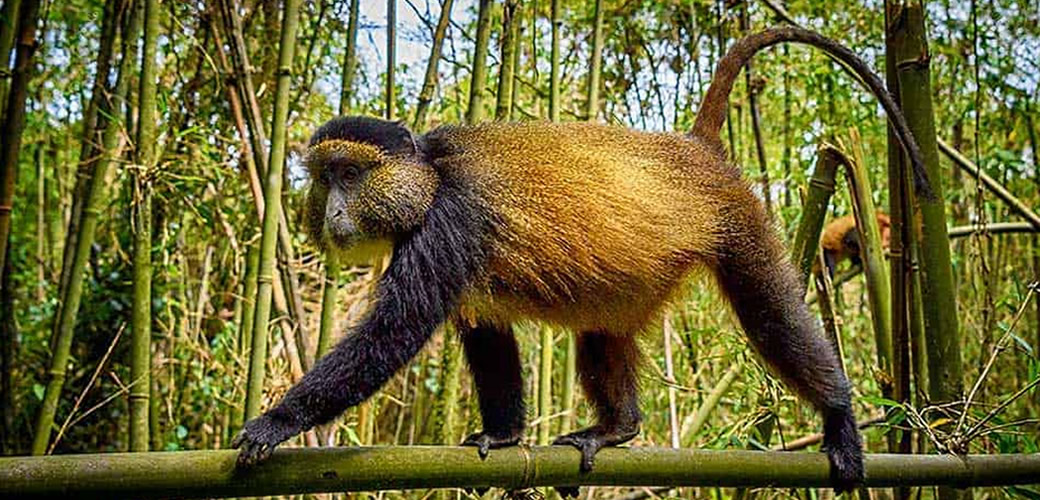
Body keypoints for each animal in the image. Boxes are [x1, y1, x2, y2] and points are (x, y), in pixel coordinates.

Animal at [236, 26, 935, 490]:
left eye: (351, 174)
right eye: (324, 179)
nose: (331, 211)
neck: (428, 177)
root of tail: (694, 150)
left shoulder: (450, 223)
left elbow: (393, 332)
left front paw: (276, 421)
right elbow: (487, 337)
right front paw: (503, 435)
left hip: (739, 226)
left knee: (773, 317)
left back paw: (839, 417)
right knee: (602, 333)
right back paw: (617, 428)